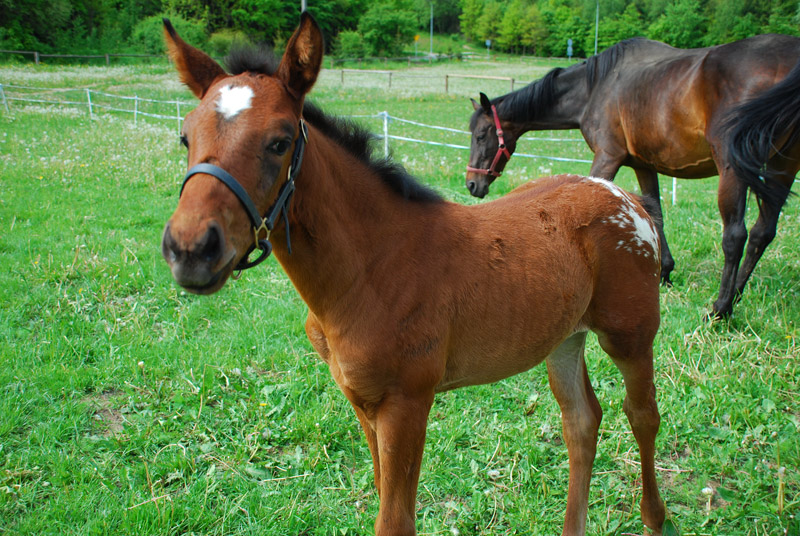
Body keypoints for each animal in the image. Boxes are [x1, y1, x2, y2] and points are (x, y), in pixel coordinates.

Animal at [159, 13, 664, 536]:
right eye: (185, 137)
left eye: (279, 142)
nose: (190, 249)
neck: (370, 270)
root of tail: (626, 199)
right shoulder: (362, 400)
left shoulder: (407, 403)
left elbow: (395, 519)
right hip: (565, 339)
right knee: (581, 421)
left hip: (631, 335)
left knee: (642, 414)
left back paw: (655, 517)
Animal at [466, 36, 800, 318]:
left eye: (481, 135)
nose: (472, 183)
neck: (595, 88)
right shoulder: (644, 164)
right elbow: (656, 213)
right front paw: (664, 271)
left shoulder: (607, 156)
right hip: (783, 165)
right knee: (762, 232)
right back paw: (738, 294)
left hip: (733, 166)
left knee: (735, 235)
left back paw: (721, 308)